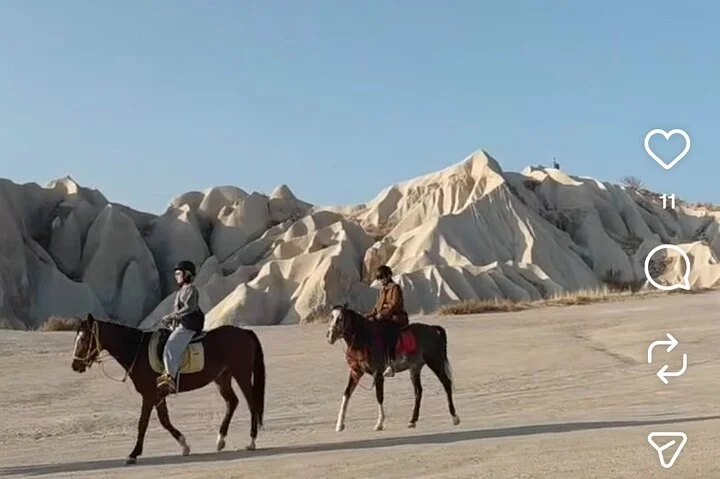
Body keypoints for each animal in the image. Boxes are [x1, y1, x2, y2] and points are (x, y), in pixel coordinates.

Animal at [70, 313, 265, 465]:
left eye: (84, 339)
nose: (75, 365)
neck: (137, 350)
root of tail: (244, 332)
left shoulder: (149, 396)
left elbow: (142, 424)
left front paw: (133, 454)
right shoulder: (158, 396)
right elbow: (164, 420)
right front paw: (184, 445)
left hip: (241, 375)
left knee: (252, 403)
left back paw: (252, 441)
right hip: (222, 378)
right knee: (232, 402)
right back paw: (221, 440)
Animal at [325, 304, 460, 432]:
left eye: (341, 318)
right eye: (331, 317)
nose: (330, 336)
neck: (364, 338)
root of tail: (432, 329)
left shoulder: (377, 374)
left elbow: (379, 397)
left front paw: (379, 424)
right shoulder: (356, 373)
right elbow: (346, 395)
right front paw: (339, 425)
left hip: (434, 362)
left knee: (446, 383)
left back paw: (454, 417)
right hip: (415, 368)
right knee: (418, 391)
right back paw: (412, 421)